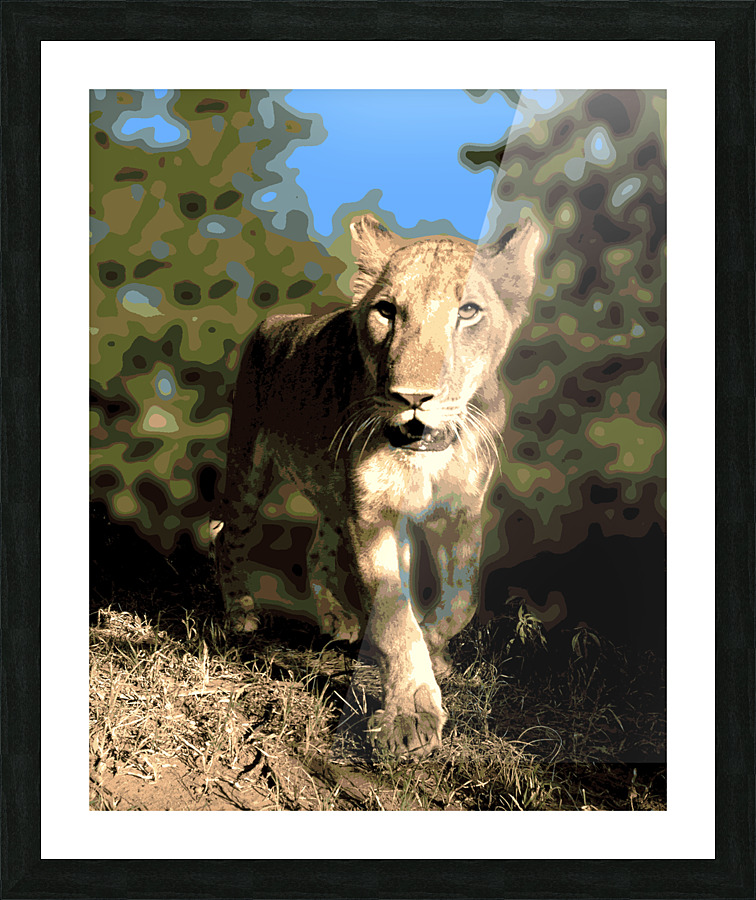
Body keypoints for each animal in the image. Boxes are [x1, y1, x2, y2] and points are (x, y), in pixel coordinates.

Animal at [213, 213, 543, 756]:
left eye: (468, 312)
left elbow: (460, 599)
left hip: (330, 494)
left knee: (317, 548)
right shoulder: (373, 513)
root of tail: (277, 321)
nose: (412, 397)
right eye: (387, 311)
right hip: (249, 463)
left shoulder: (459, 511)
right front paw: (410, 712)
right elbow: (393, 612)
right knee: (226, 532)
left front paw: (434, 652)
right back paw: (239, 611)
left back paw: (338, 621)